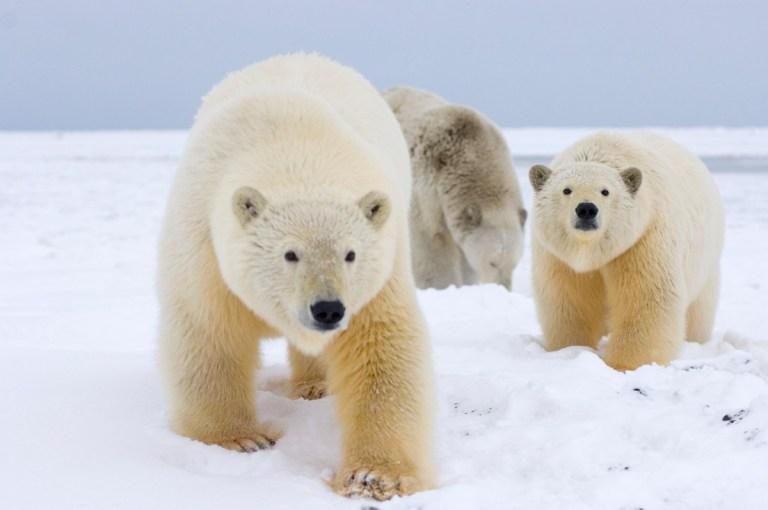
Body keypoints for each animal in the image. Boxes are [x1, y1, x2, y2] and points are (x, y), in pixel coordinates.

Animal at [156, 54, 435, 501]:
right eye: (290, 254)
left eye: (350, 254)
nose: (328, 309)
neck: (295, 145)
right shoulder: (205, 250)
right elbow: (209, 333)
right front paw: (240, 439)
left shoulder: (381, 270)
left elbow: (382, 347)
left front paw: (374, 477)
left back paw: (314, 386)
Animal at [383, 86, 526, 290]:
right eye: (492, 262)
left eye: (513, 264)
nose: (503, 288)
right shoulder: (425, 188)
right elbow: (430, 241)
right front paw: (442, 285)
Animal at [528, 131, 724, 371]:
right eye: (567, 190)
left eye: (605, 191)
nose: (586, 209)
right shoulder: (558, 256)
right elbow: (569, 299)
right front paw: (570, 349)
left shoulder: (642, 239)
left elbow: (647, 297)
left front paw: (624, 365)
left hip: (705, 262)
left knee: (699, 311)